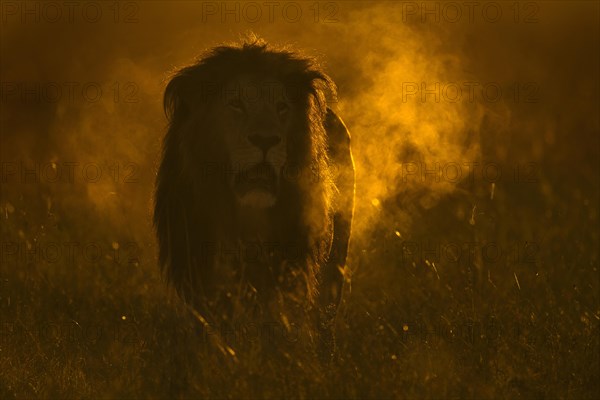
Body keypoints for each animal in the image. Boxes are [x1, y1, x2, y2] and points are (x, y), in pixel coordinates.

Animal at [154, 37, 356, 356]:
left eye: (282, 107)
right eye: (236, 104)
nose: (265, 140)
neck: (247, 217)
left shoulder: (288, 265)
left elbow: (277, 322)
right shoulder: (200, 269)